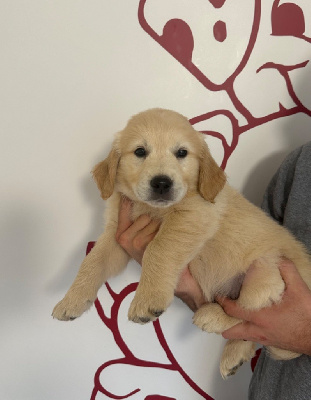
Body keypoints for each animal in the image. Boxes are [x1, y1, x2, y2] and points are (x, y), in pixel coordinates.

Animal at [52, 108, 311, 376]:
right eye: (140, 151)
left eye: (182, 153)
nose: (162, 183)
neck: (152, 208)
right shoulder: (117, 233)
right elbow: (92, 261)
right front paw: (71, 301)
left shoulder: (191, 216)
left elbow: (157, 249)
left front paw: (147, 299)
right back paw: (234, 356)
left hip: (265, 272)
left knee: (253, 312)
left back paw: (213, 316)